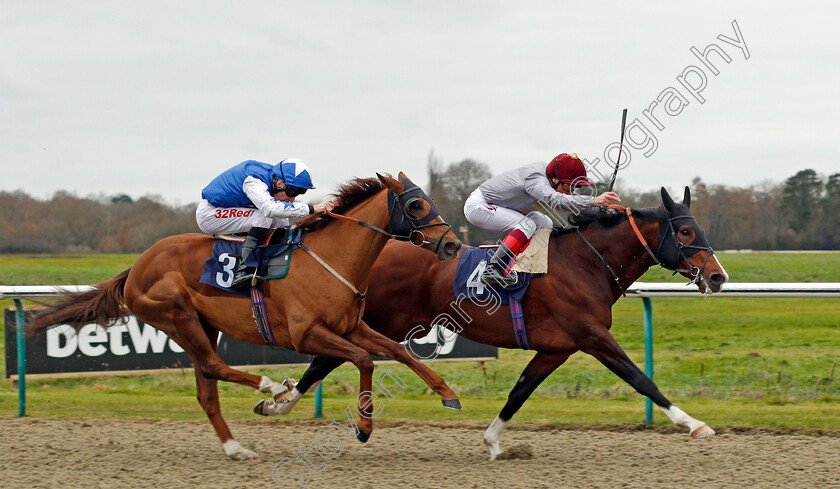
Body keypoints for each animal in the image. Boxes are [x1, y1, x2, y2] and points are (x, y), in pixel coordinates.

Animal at [29, 173, 462, 460]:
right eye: (416, 205)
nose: (453, 245)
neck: (331, 260)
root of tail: (136, 267)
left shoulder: (352, 326)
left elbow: (398, 351)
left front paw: (447, 393)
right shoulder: (306, 334)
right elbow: (364, 360)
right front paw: (364, 426)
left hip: (201, 324)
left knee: (206, 389)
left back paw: (236, 447)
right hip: (177, 314)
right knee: (214, 365)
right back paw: (271, 387)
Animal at [278, 186, 728, 458]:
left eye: (700, 228)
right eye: (686, 232)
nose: (718, 277)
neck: (587, 263)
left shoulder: (557, 348)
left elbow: (519, 391)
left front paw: (493, 441)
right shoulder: (591, 335)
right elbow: (641, 379)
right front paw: (694, 424)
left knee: (330, 358)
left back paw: (280, 400)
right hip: (379, 320)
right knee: (327, 358)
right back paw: (283, 400)